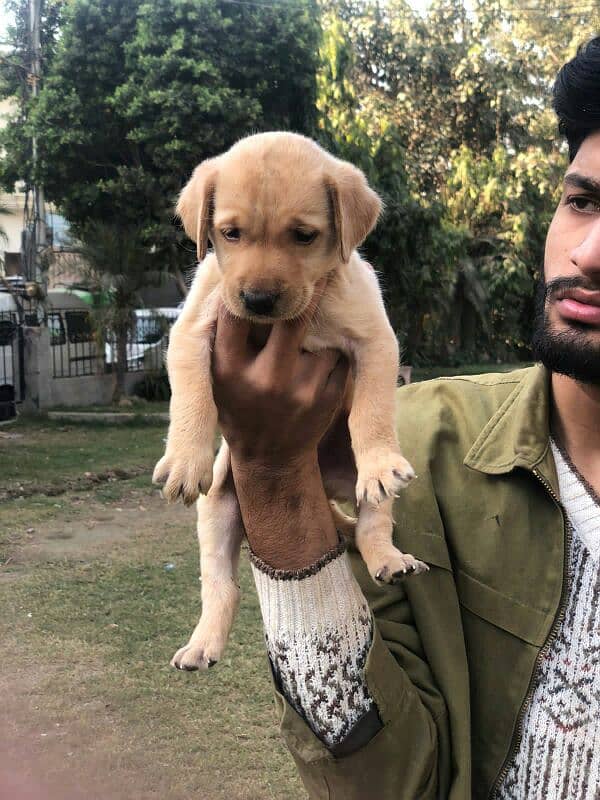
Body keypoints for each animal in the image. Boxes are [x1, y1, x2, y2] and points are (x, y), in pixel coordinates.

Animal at [154, 134, 426, 672]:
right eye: (230, 234)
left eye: (303, 236)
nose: (258, 300)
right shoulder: (191, 330)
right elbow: (191, 398)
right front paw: (184, 460)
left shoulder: (375, 340)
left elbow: (372, 413)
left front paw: (380, 459)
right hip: (217, 513)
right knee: (222, 586)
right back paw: (202, 644)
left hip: (354, 488)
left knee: (371, 526)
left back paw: (389, 559)